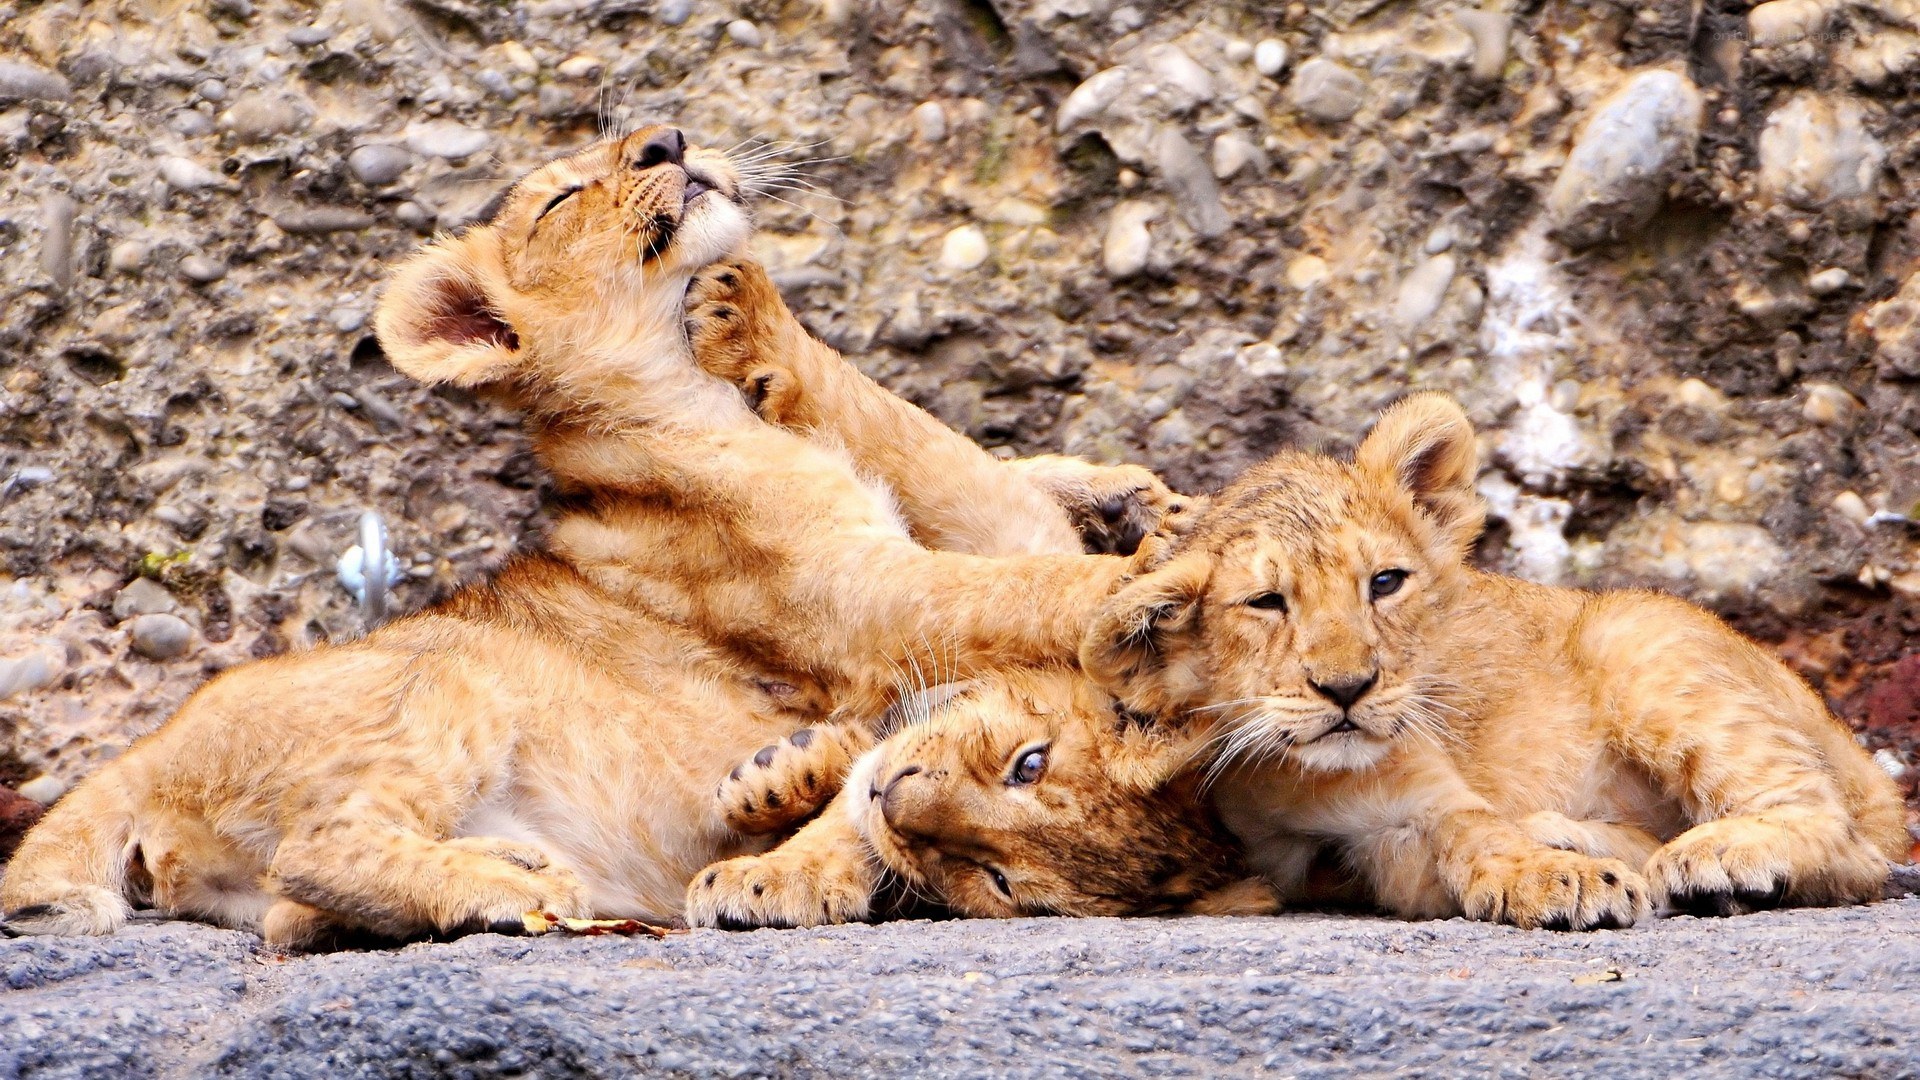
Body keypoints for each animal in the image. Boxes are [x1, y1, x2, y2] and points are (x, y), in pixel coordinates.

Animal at [0, 126, 1149, 947]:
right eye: (559, 200)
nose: (668, 138)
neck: (698, 388)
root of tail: (139, 755)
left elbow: (981, 469)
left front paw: (1126, 493)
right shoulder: (865, 599)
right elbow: (1020, 587)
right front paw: (1148, 576)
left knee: (288, 917)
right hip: (441, 681)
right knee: (316, 851)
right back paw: (514, 885)